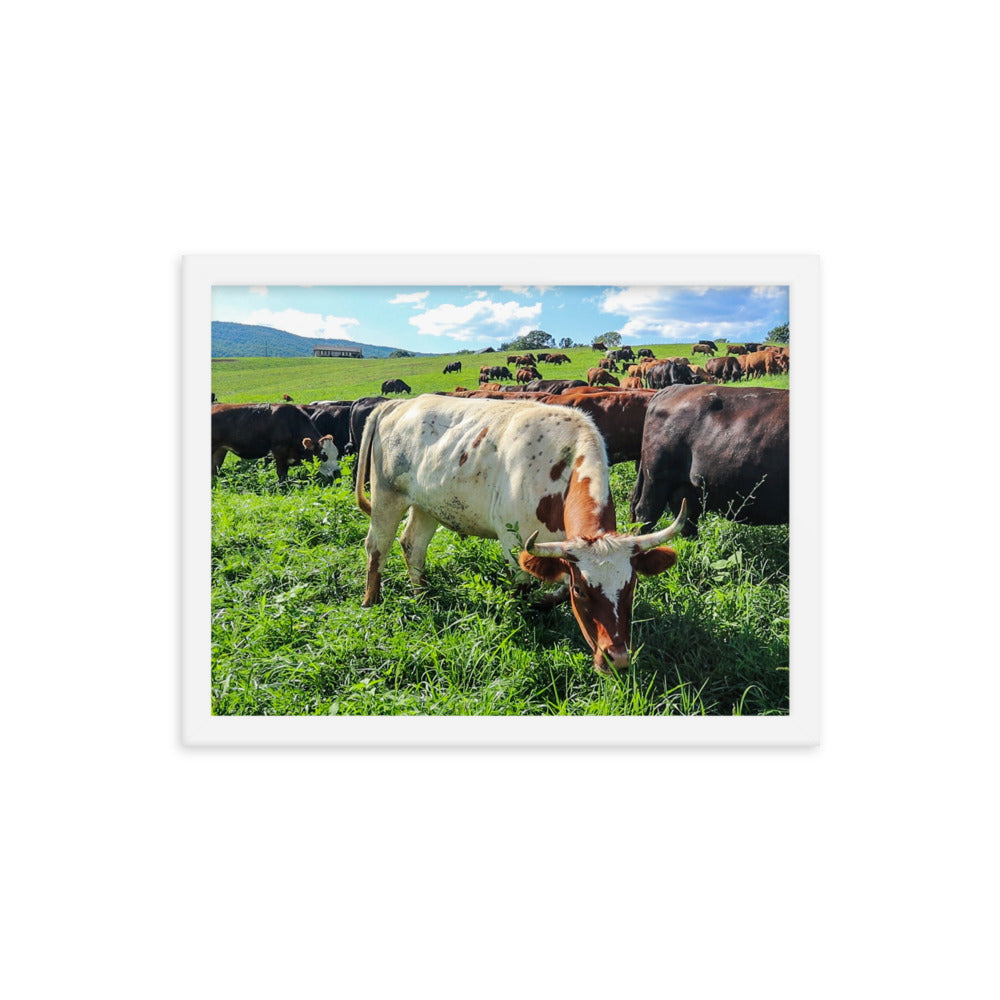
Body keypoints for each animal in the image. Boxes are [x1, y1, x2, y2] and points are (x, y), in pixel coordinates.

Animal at [211, 404, 340, 482]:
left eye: (337, 454)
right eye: (324, 456)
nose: (337, 473)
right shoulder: (279, 451)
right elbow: (281, 474)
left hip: (220, 450)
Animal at [355, 395, 686, 672]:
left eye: (631, 586)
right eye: (582, 591)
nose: (616, 659)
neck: (561, 466)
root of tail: (398, 404)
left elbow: (556, 589)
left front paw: (543, 603)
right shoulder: (515, 543)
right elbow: (523, 589)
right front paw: (523, 618)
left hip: (427, 506)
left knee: (413, 546)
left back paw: (422, 595)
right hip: (387, 497)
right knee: (376, 548)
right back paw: (371, 602)